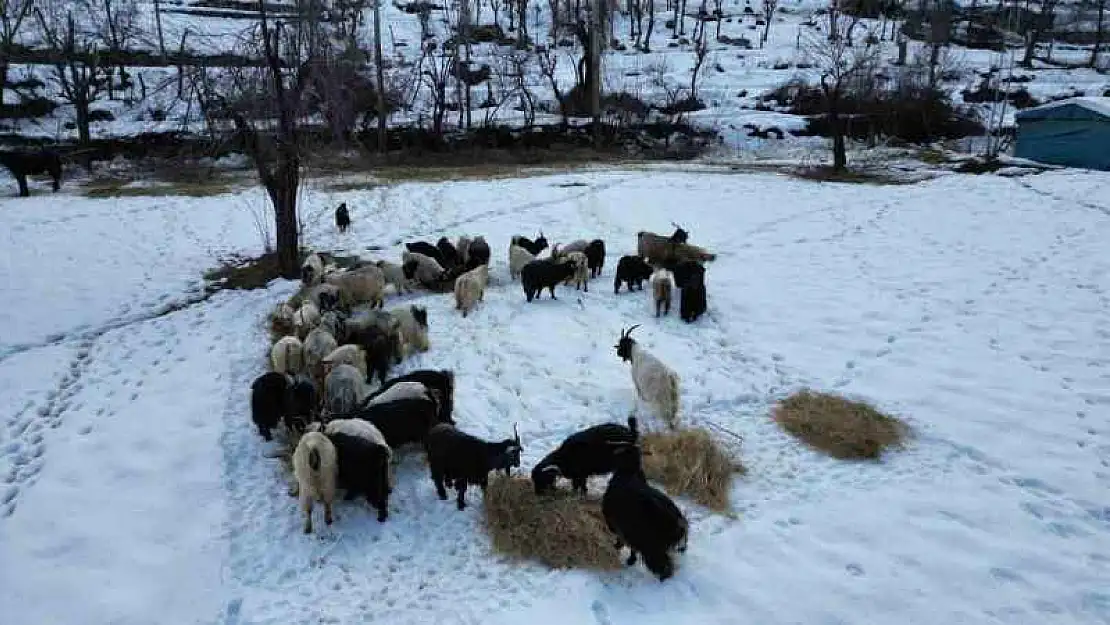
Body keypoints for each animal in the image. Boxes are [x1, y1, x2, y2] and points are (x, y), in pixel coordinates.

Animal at [599, 444, 683, 581]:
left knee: (665, 567)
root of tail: (678, 524)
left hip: (653, 548)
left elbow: (622, 539)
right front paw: (631, 559)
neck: (629, 473)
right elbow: (631, 546)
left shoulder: (617, 523)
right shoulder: (631, 531)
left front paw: (619, 549)